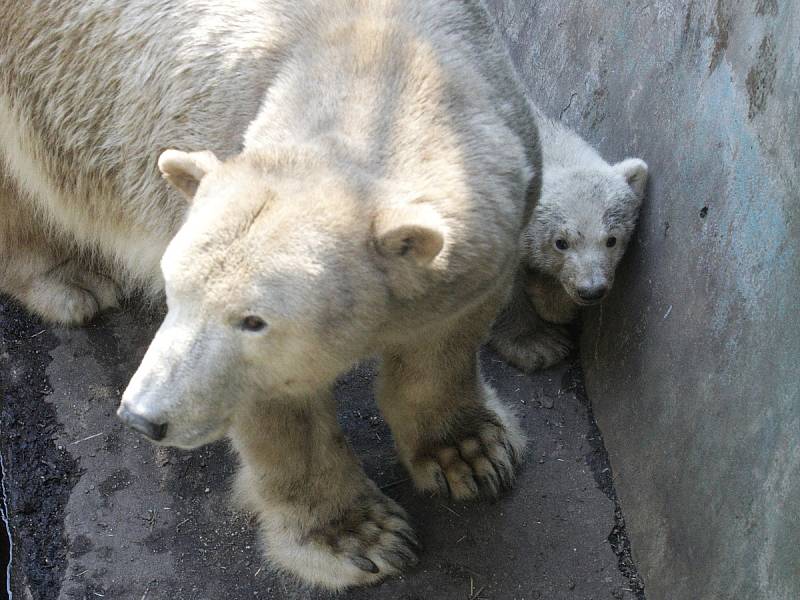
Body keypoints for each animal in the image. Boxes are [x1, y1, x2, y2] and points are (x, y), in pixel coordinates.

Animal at [0, 0, 540, 592]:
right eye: (173, 289)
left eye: (253, 320)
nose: (142, 417)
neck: (384, 64)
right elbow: (279, 412)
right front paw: (358, 538)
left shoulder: (498, 205)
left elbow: (447, 335)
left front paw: (470, 454)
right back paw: (71, 280)